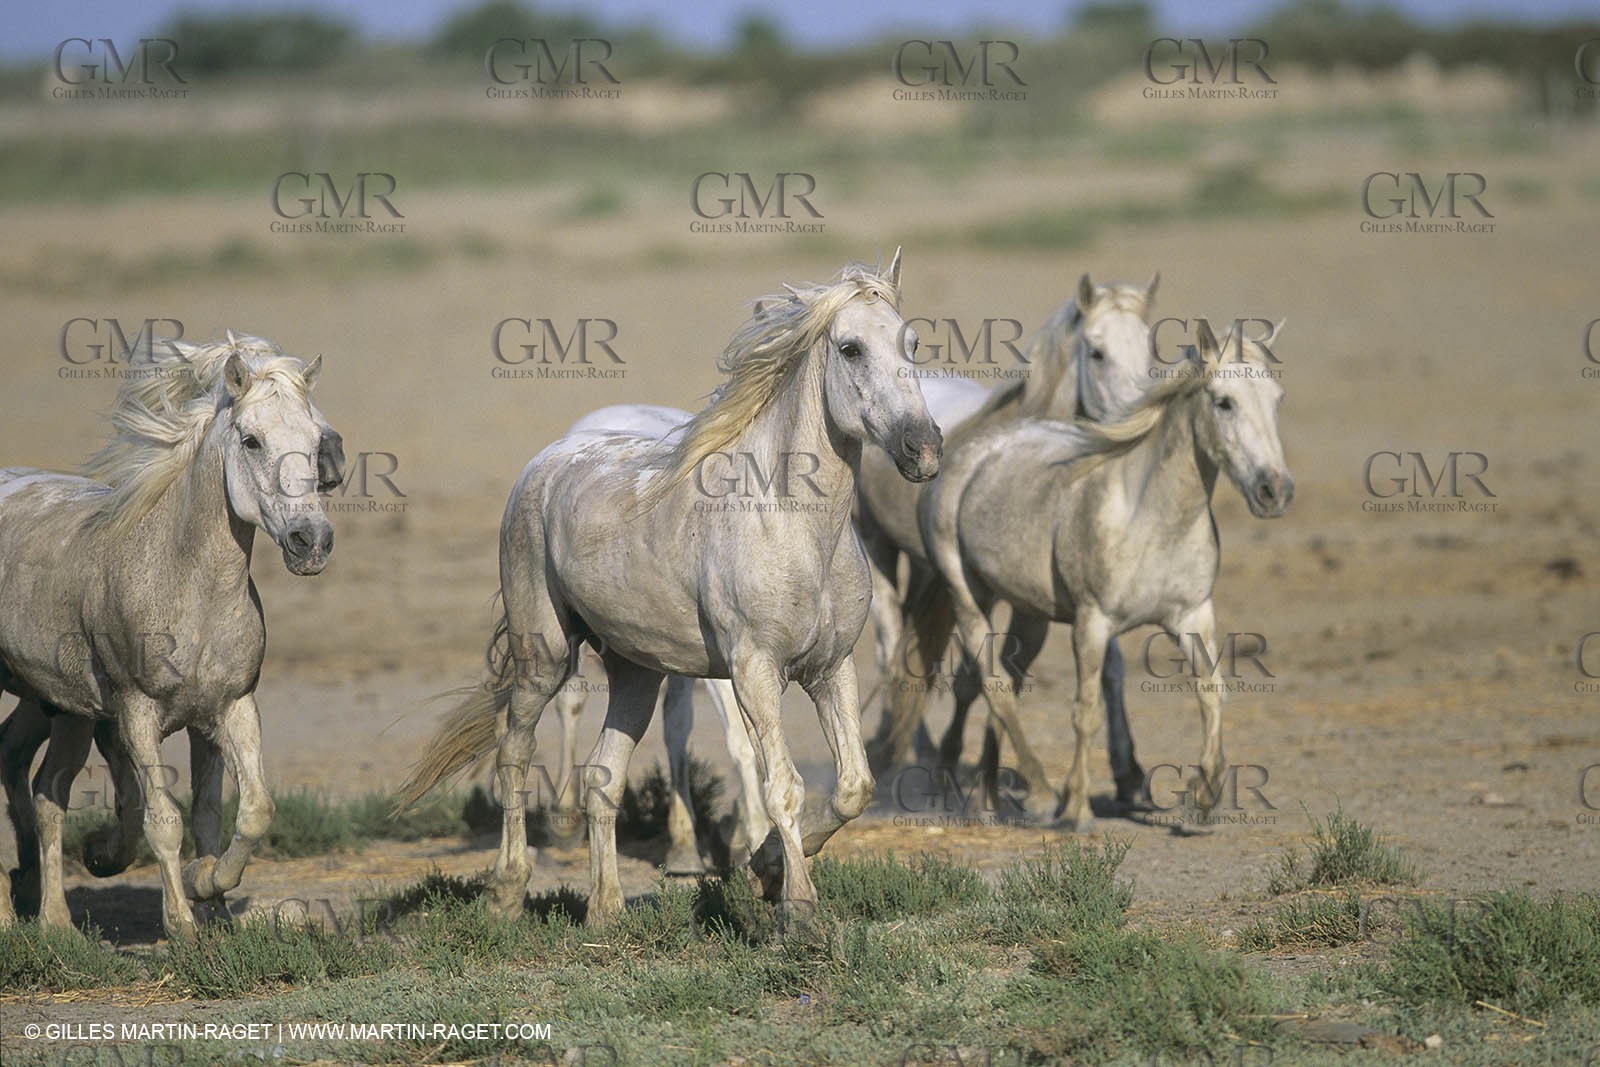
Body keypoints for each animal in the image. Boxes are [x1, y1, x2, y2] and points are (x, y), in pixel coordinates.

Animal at [0, 333, 338, 937]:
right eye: (251, 440)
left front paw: (211, 892)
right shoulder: (137, 712)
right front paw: (181, 923)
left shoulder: (228, 709)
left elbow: (241, 811)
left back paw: (54, 918)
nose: (311, 542)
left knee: (44, 788)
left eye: (316, 440)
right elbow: (164, 820)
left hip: (59, 708)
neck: (186, 589)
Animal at [394, 252, 941, 927]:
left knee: (603, 777)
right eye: (850, 348)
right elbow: (782, 786)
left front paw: (762, 869)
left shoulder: (830, 668)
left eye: (911, 344)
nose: (924, 449)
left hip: (636, 673)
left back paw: (605, 911)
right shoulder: (755, 670)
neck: (793, 524)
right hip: (543, 656)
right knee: (513, 750)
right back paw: (505, 892)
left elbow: (852, 786)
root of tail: (545, 462)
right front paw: (798, 907)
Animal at [855, 273, 1162, 796]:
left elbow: (1110, 669)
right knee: (891, 640)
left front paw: (1130, 774)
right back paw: (904, 747)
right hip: (878, 546)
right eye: (1097, 352)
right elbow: (976, 672)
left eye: (1148, 350)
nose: (1133, 424)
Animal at [912, 326, 1291, 829]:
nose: (1275, 491)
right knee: (991, 687)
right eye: (1224, 402)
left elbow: (1212, 695)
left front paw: (1202, 798)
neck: (1151, 520)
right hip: (970, 598)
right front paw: (1076, 809)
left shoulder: (1193, 616)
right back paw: (1033, 793)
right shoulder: (1092, 623)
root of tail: (966, 454)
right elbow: (1086, 712)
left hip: (1030, 614)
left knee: (1003, 684)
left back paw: (991, 796)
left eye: (1276, 399)